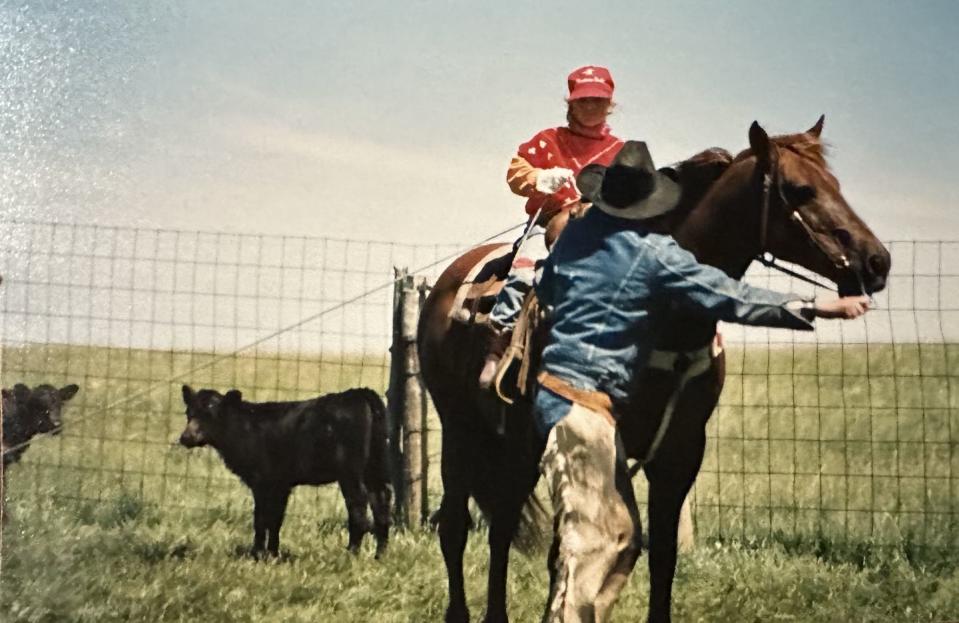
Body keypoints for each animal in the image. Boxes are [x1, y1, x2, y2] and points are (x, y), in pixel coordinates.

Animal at [178, 386, 392, 560]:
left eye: (211, 414)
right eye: (189, 412)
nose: (186, 437)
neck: (245, 428)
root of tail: (359, 393)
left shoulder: (262, 481)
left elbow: (261, 519)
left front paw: (257, 554)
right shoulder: (281, 484)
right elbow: (276, 520)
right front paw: (273, 554)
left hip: (350, 472)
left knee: (359, 509)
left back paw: (350, 555)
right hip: (375, 468)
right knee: (381, 505)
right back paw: (380, 556)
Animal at [420, 118, 892, 623]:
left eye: (835, 184)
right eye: (800, 189)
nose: (876, 261)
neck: (669, 317)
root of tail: (449, 280)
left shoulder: (680, 451)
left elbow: (662, 555)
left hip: (513, 446)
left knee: (503, 525)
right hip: (461, 430)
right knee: (457, 526)